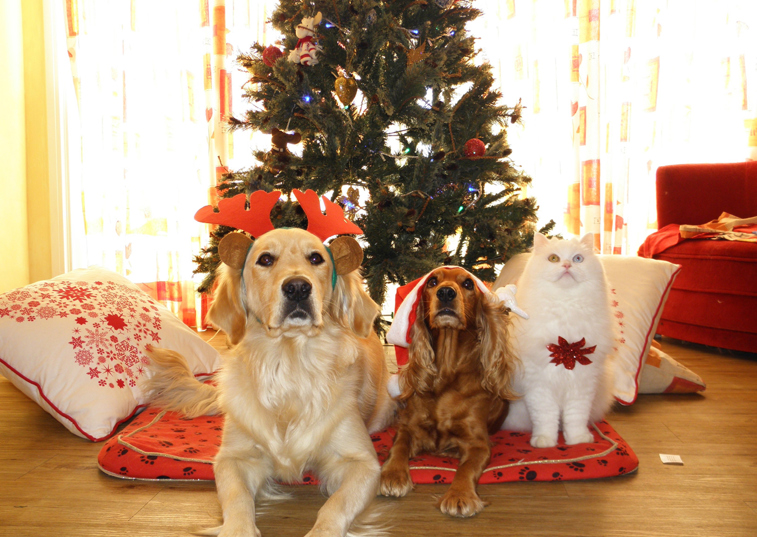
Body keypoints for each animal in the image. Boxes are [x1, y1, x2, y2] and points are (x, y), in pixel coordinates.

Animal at [502, 232, 616, 446]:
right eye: (553, 258)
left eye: (578, 258)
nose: (567, 265)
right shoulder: (539, 385)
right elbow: (546, 418)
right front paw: (545, 441)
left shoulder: (582, 385)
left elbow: (575, 418)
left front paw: (578, 441)